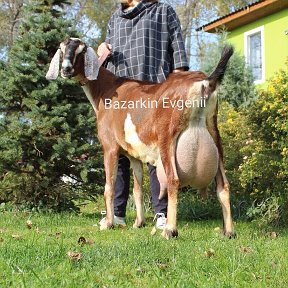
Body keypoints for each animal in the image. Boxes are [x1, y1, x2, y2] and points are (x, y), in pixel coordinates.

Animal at [47, 38, 235, 241]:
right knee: (223, 184)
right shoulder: (134, 155)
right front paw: (138, 223)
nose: (66, 69)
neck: (106, 90)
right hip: (214, 135)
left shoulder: (110, 148)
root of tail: (204, 83)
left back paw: (170, 230)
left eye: (81, 50)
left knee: (173, 180)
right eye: (61, 49)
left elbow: (109, 186)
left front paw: (109, 223)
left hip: (167, 139)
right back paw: (229, 231)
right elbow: (137, 190)